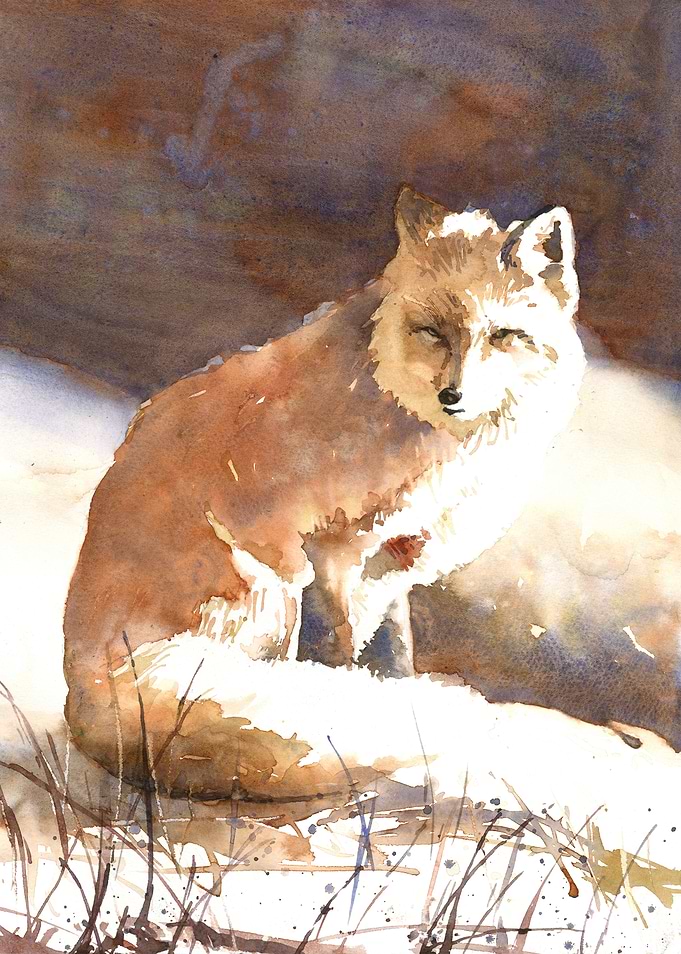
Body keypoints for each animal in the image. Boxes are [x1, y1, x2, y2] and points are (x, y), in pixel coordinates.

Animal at [63, 185, 585, 801]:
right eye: (432, 331)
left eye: (503, 335)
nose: (453, 396)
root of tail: (89, 684)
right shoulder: (334, 548)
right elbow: (339, 651)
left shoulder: (394, 560)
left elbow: (396, 649)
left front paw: (396, 691)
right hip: (272, 586)